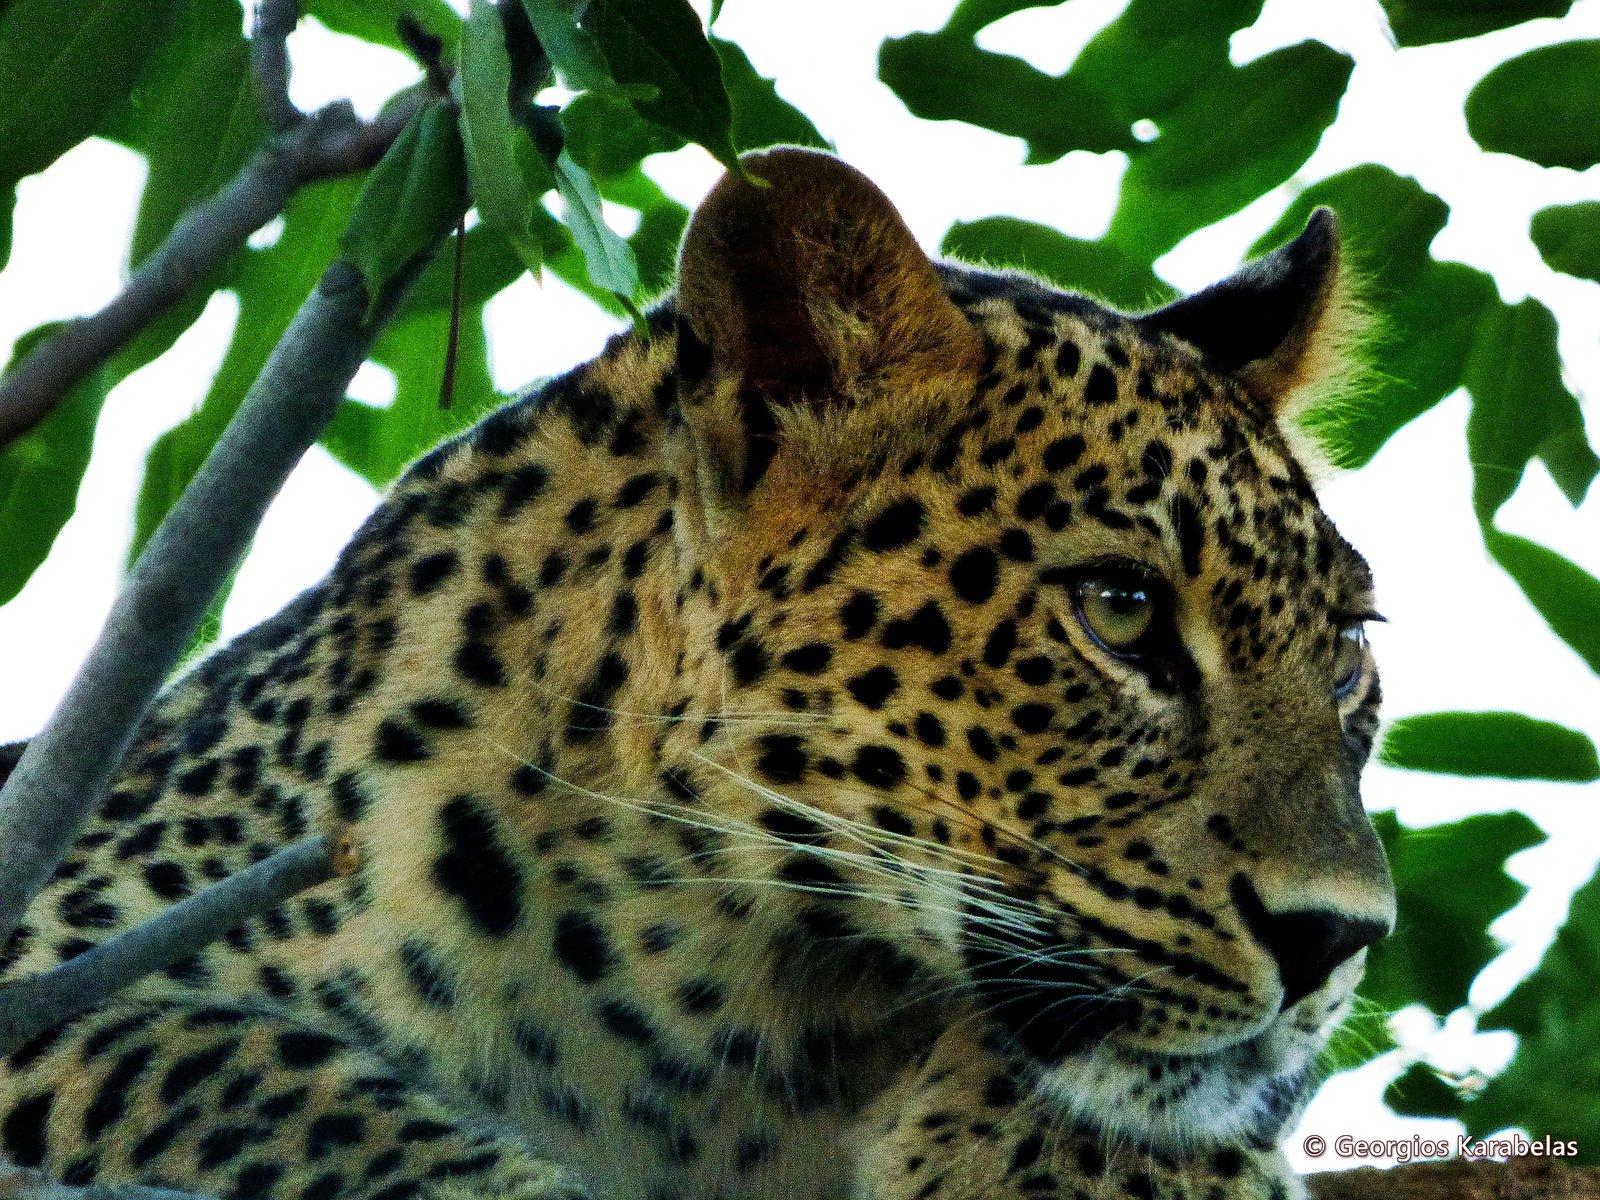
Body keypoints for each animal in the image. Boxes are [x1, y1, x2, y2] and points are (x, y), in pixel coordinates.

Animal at [0, 146, 1395, 1200]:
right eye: (1120, 611)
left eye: (1343, 657)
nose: (1338, 939)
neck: (722, 1003)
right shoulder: (65, 947)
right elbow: (259, 1083)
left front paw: (1076, 1167)